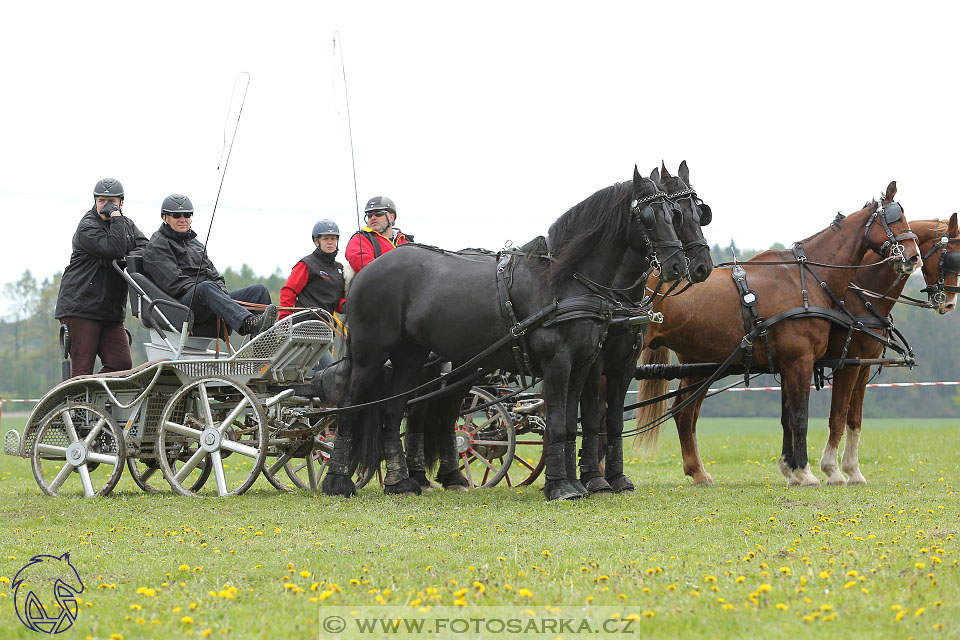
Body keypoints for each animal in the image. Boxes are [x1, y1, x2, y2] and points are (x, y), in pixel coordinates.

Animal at [326, 168, 688, 502]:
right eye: (648, 217)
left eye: (675, 213)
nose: (678, 266)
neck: (565, 279)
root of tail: (367, 271)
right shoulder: (559, 363)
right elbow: (559, 422)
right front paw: (561, 487)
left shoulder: (583, 364)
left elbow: (570, 424)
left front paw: (576, 483)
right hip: (371, 355)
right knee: (350, 407)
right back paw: (338, 481)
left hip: (412, 359)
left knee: (394, 412)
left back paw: (401, 482)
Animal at [576, 162, 712, 492]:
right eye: (679, 214)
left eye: (698, 213)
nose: (702, 266)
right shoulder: (597, 361)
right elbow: (595, 412)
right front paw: (594, 474)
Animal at [632, 182, 920, 488]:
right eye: (894, 219)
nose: (913, 257)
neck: (807, 278)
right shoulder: (806, 361)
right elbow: (801, 417)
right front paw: (808, 472)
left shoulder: (792, 364)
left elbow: (790, 417)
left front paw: (793, 470)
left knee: (684, 412)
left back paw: (697, 471)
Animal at [816, 212, 960, 482]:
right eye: (951, 258)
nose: (949, 304)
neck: (861, 296)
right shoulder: (847, 364)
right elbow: (838, 416)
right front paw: (832, 470)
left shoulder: (863, 366)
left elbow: (855, 419)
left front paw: (853, 470)